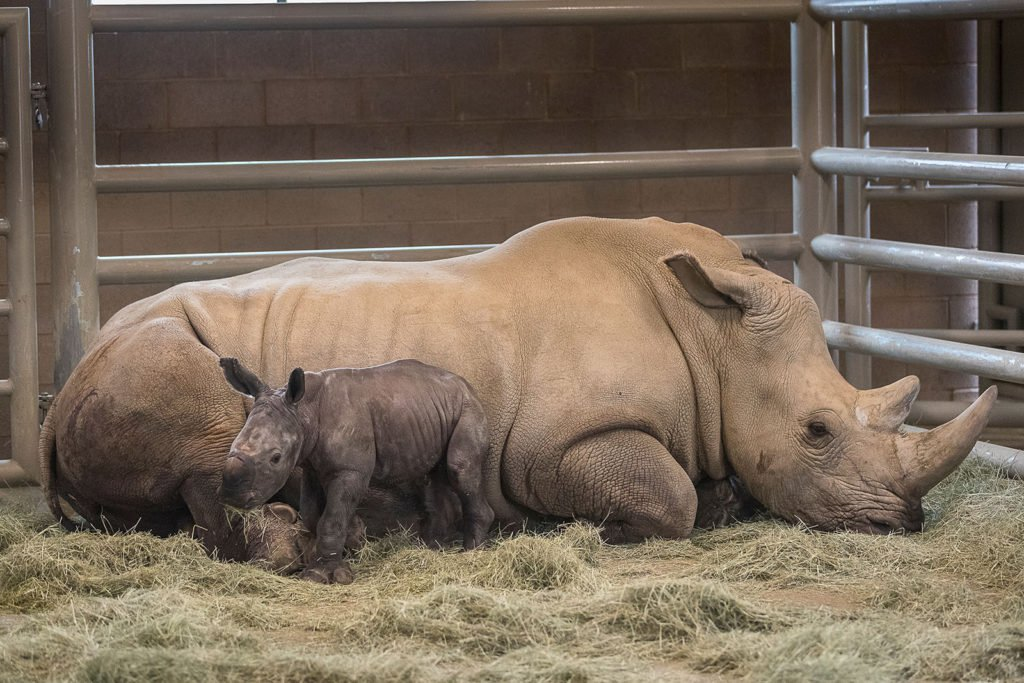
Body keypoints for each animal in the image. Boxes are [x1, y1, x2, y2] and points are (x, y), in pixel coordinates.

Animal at [218, 356, 493, 585]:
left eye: (275, 458)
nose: (232, 496)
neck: (304, 411)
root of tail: (467, 386)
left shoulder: (350, 471)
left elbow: (331, 519)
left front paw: (321, 576)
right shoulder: (311, 468)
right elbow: (312, 514)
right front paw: (350, 542)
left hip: (469, 409)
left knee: (459, 469)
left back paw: (471, 553)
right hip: (431, 410)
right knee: (435, 476)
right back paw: (432, 549)